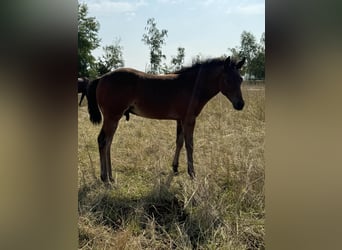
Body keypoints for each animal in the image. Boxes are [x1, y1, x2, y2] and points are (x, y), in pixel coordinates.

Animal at [87, 56, 244, 182]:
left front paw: (175, 167)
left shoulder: (180, 120)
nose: (240, 104)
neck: (192, 85)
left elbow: (179, 142)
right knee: (103, 141)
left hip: (113, 118)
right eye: (227, 80)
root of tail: (101, 78)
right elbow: (190, 145)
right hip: (112, 117)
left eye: (241, 79)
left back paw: (110, 176)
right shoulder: (189, 120)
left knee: (108, 142)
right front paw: (192, 173)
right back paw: (105, 178)